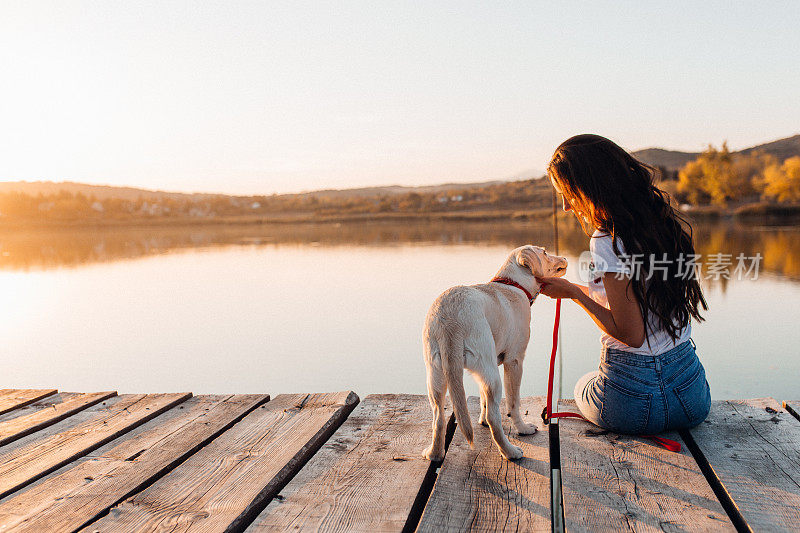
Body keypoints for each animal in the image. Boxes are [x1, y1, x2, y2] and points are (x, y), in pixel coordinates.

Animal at [422, 245, 564, 458]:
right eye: (545, 252)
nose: (564, 257)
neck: (514, 284)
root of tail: (450, 319)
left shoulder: (484, 370)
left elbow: (482, 398)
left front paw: (480, 420)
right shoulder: (514, 361)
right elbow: (513, 403)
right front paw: (523, 428)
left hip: (437, 373)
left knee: (438, 416)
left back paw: (433, 453)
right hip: (491, 371)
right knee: (494, 417)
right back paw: (510, 452)